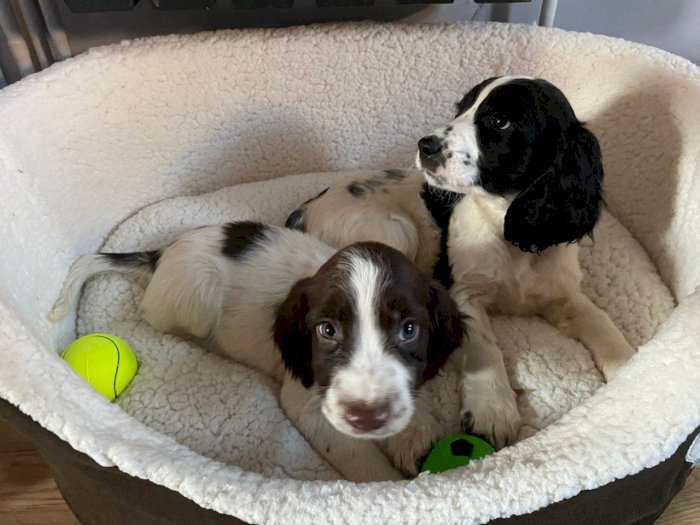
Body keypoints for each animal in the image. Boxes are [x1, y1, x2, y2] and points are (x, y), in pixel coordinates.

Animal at [49, 221, 464, 478]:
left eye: (409, 330)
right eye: (327, 330)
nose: (367, 416)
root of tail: (161, 253)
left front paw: (414, 436)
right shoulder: (306, 400)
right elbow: (354, 455)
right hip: (197, 296)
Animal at [288, 75, 636, 448]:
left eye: (500, 121)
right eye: (460, 109)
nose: (425, 145)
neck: (504, 227)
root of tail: (303, 211)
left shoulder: (563, 293)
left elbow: (601, 323)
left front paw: (636, 374)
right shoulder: (462, 292)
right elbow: (484, 347)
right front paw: (492, 409)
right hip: (396, 232)